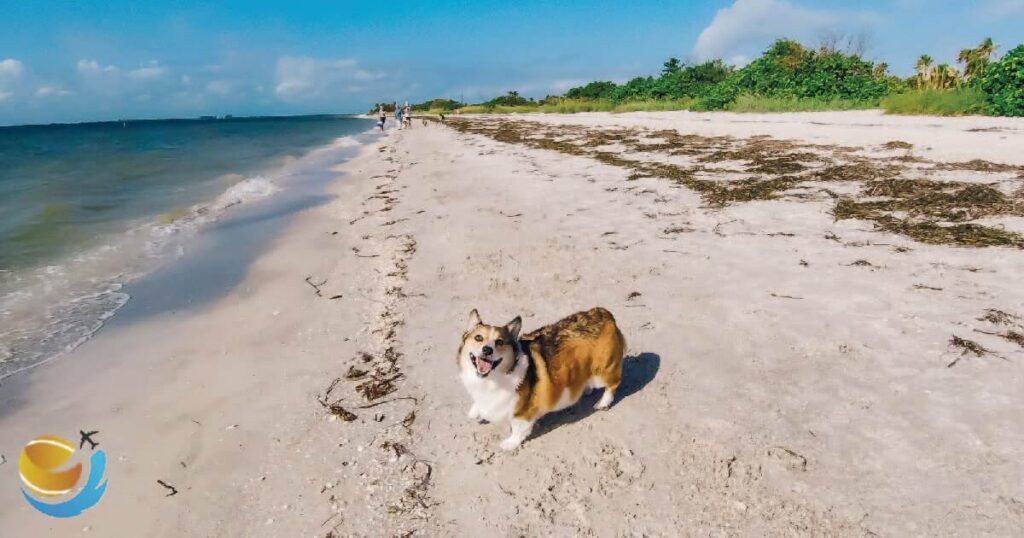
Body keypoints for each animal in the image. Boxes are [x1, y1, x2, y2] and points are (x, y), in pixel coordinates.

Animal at [456, 305, 622, 448]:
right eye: (478, 338)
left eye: (500, 342)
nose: (487, 350)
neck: (492, 379)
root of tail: (605, 313)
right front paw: (475, 411)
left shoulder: (523, 413)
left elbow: (518, 429)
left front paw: (510, 444)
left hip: (602, 372)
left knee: (613, 384)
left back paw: (602, 403)